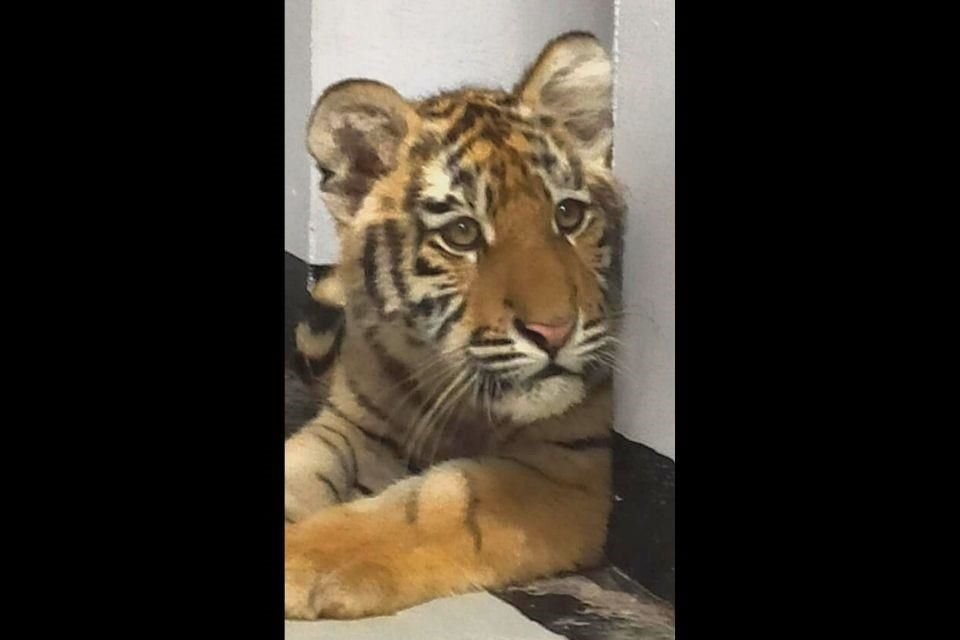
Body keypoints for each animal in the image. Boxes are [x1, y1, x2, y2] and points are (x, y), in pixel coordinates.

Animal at [285, 31, 626, 620]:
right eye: (462, 233)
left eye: (568, 215)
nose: (554, 331)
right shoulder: (355, 426)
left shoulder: (569, 466)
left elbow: (427, 507)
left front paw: (300, 560)